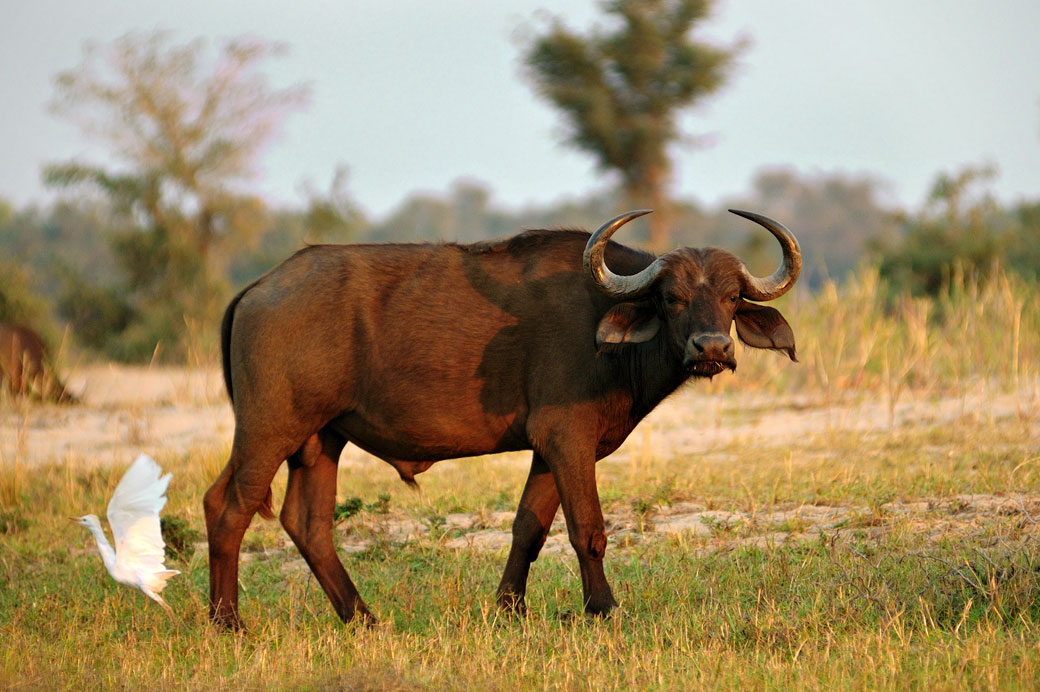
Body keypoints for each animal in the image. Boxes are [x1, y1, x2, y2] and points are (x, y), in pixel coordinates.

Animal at [204, 206, 802, 624]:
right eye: (672, 297)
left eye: (730, 297)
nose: (711, 348)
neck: (610, 335)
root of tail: (260, 287)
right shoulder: (567, 438)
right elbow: (588, 528)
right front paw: (604, 608)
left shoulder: (549, 448)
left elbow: (528, 529)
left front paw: (509, 608)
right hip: (267, 429)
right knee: (227, 507)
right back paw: (228, 622)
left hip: (320, 440)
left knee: (307, 523)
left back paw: (363, 618)